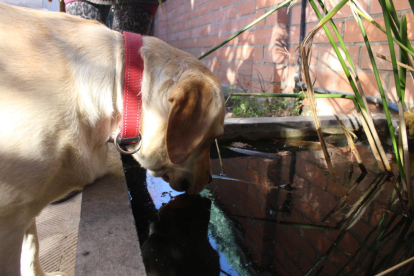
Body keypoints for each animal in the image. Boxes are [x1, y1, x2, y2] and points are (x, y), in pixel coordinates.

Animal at [0, 2, 223, 276]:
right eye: (210, 139)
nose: (211, 179)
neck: (120, 83)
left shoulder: (24, 209)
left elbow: (32, 248)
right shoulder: (9, 219)